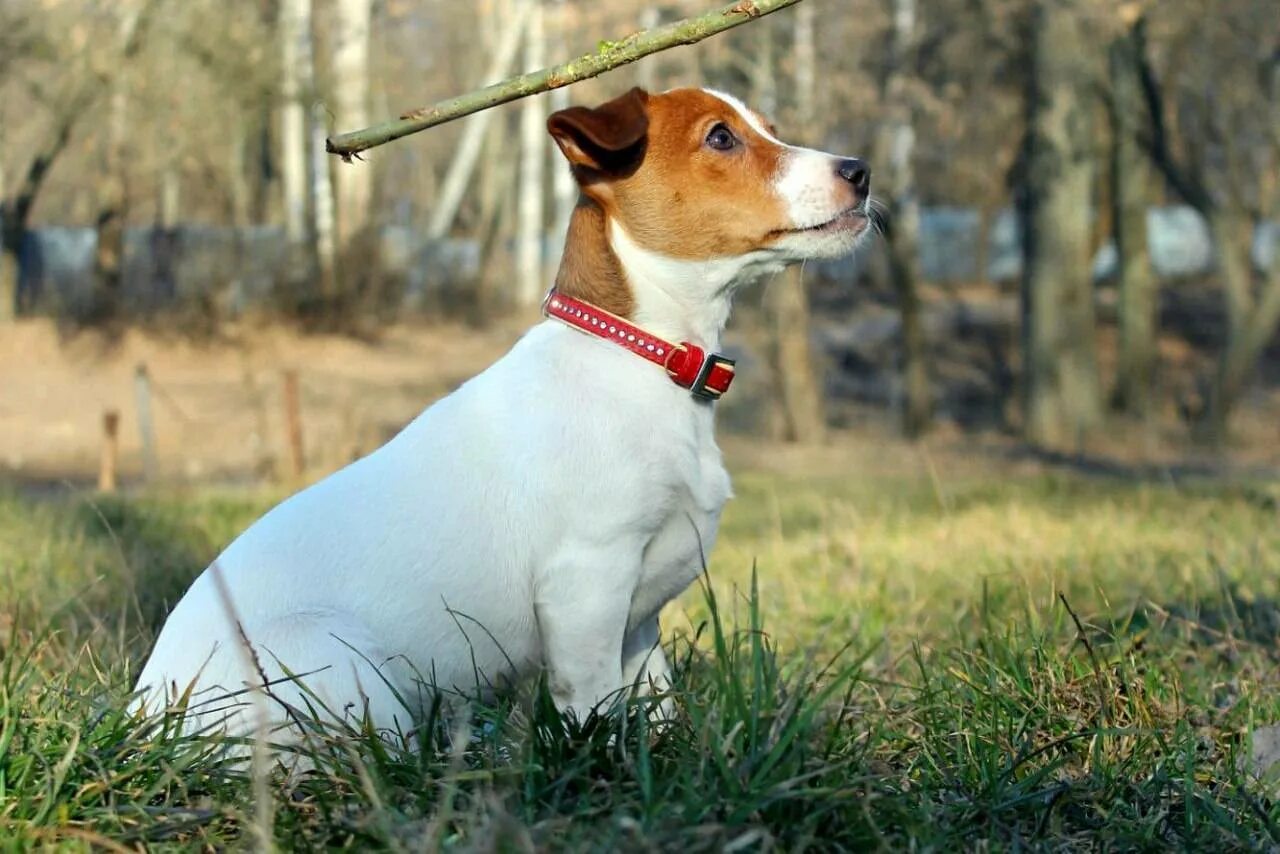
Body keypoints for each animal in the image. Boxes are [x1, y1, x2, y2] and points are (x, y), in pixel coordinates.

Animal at [132, 87, 870, 747]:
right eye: (721, 138)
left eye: (769, 128)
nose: (860, 170)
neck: (646, 361)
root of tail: (145, 721)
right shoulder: (585, 586)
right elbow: (595, 711)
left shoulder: (638, 617)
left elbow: (656, 703)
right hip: (336, 663)